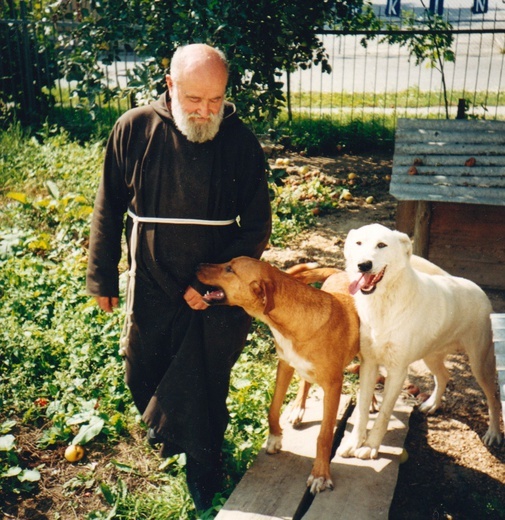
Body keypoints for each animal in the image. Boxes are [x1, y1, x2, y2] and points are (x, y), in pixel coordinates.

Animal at [197, 258, 358, 494]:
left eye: (229, 269)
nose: (197, 266)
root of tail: (341, 272)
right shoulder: (285, 365)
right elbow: (273, 408)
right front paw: (275, 437)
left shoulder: (334, 385)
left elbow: (325, 435)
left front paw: (320, 474)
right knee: (306, 382)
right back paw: (299, 407)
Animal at [336, 223, 502, 460]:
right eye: (358, 243)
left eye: (381, 245)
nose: (363, 265)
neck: (383, 304)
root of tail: (478, 288)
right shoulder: (368, 364)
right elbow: (361, 410)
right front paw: (353, 443)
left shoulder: (397, 371)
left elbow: (384, 414)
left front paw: (370, 446)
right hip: (431, 356)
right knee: (444, 376)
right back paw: (431, 405)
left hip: (480, 364)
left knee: (493, 397)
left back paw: (494, 433)